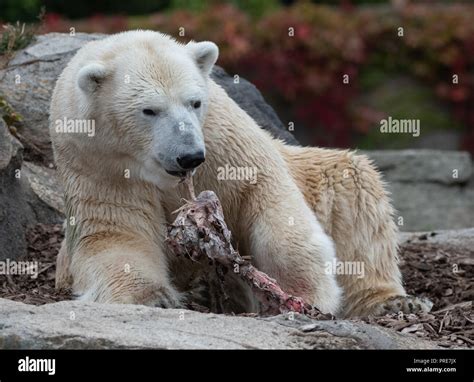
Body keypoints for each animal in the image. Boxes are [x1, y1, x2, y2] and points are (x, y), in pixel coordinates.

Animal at [50, 29, 432, 318]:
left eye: (194, 102)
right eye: (149, 110)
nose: (189, 156)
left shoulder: (222, 136)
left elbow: (265, 194)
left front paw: (303, 293)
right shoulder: (97, 160)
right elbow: (116, 231)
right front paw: (154, 297)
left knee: (351, 184)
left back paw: (392, 302)